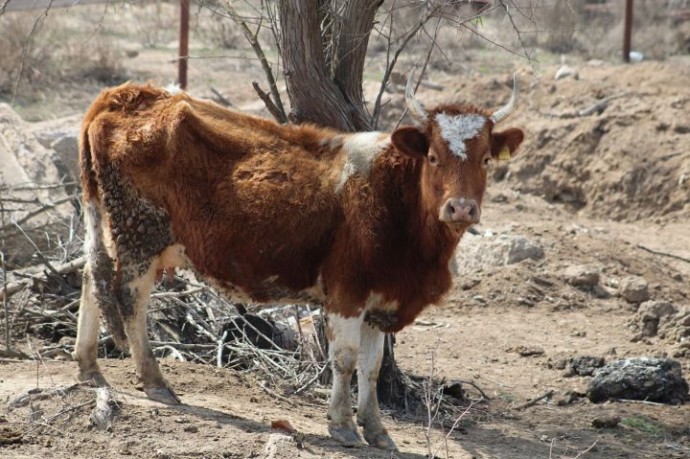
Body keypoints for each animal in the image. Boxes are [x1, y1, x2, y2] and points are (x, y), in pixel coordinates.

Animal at [74, 72, 520, 450]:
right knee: (129, 300)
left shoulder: (382, 298)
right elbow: (345, 360)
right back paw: (154, 381)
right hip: (139, 234)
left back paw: (88, 365)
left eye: (485, 159)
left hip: (114, 226)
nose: (461, 208)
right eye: (433, 157)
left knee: (91, 277)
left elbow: (372, 368)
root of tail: (128, 94)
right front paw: (343, 426)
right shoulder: (347, 292)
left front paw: (376, 430)